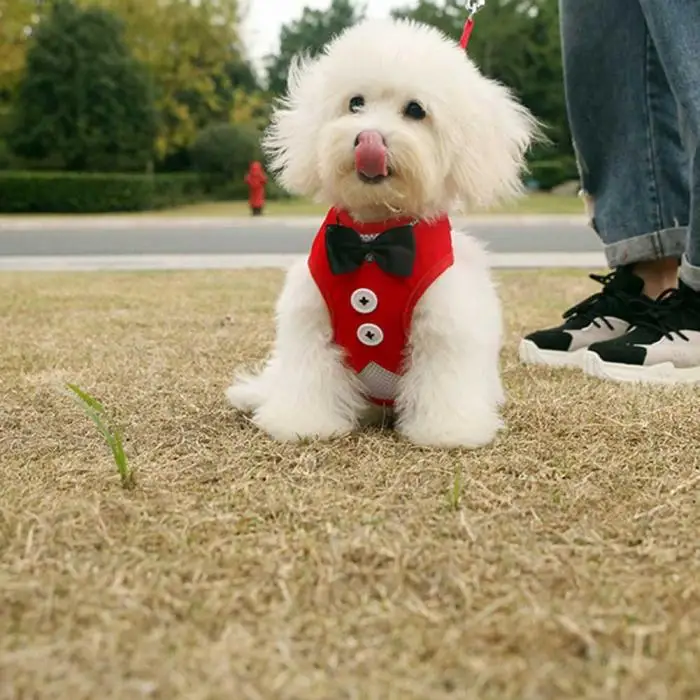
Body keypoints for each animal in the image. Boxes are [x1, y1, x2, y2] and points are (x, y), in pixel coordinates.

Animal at [227, 21, 532, 452]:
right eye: (355, 103)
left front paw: (447, 431)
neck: (373, 239)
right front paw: (302, 422)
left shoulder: (444, 326)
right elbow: (308, 375)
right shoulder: (310, 319)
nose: (368, 138)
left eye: (416, 110)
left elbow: (442, 379)